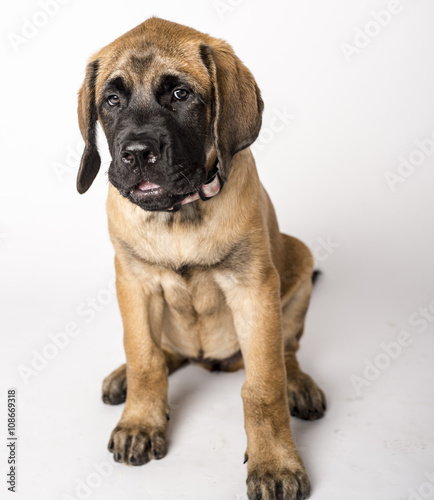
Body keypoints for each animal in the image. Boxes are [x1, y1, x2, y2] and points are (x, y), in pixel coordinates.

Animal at [77, 17, 326, 500]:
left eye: (180, 95)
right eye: (111, 100)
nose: (137, 153)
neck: (179, 214)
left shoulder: (254, 290)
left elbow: (263, 385)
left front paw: (275, 463)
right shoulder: (133, 282)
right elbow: (145, 357)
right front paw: (140, 422)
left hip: (299, 264)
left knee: (288, 351)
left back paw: (299, 386)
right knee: (166, 352)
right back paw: (123, 378)